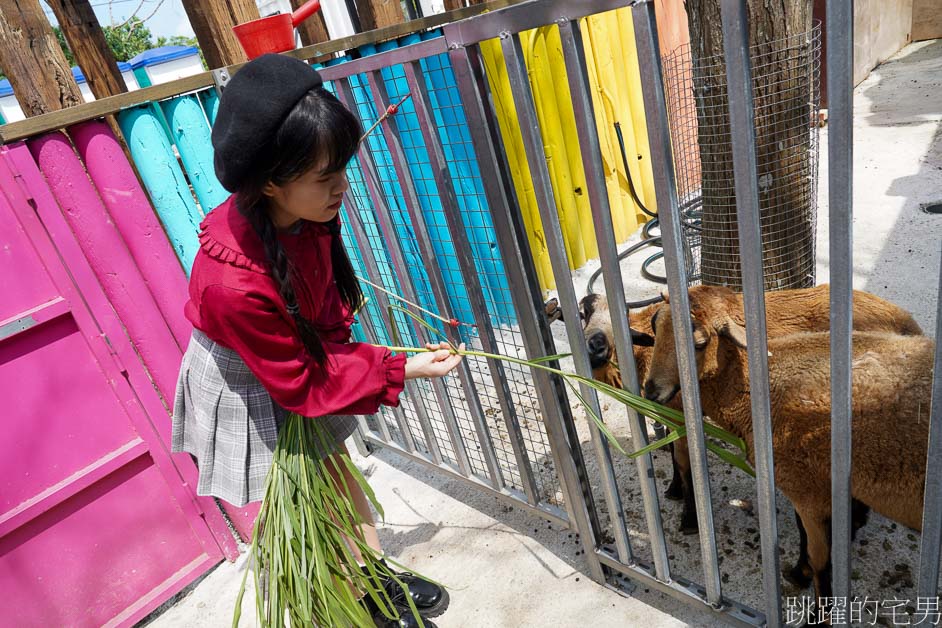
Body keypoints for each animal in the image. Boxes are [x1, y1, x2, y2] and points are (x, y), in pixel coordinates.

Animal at [576, 284, 920, 536]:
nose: (595, 348)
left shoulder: (683, 415)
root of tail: (906, 321)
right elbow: (674, 457)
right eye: (584, 313)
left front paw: (689, 519)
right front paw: (673, 490)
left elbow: (686, 465)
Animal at [644, 286, 932, 604]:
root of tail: (906, 320)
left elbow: (819, 558)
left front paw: (809, 588)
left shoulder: (808, 490)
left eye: (699, 343)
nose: (650, 391)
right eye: (655, 328)